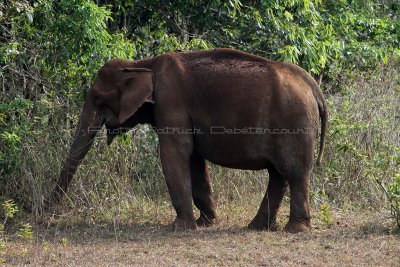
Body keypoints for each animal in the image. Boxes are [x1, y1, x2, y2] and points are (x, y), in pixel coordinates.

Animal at [47, 48, 328, 234]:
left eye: (96, 97)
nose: (48, 214)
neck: (143, 64)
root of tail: (314, 87)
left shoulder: (171, 102)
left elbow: (175, 153)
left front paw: (180, 228)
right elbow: (193, 160)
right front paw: (206, 223)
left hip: (294, 124)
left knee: (294, 172)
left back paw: (295, 230)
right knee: (278, 175)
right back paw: (257, 227)